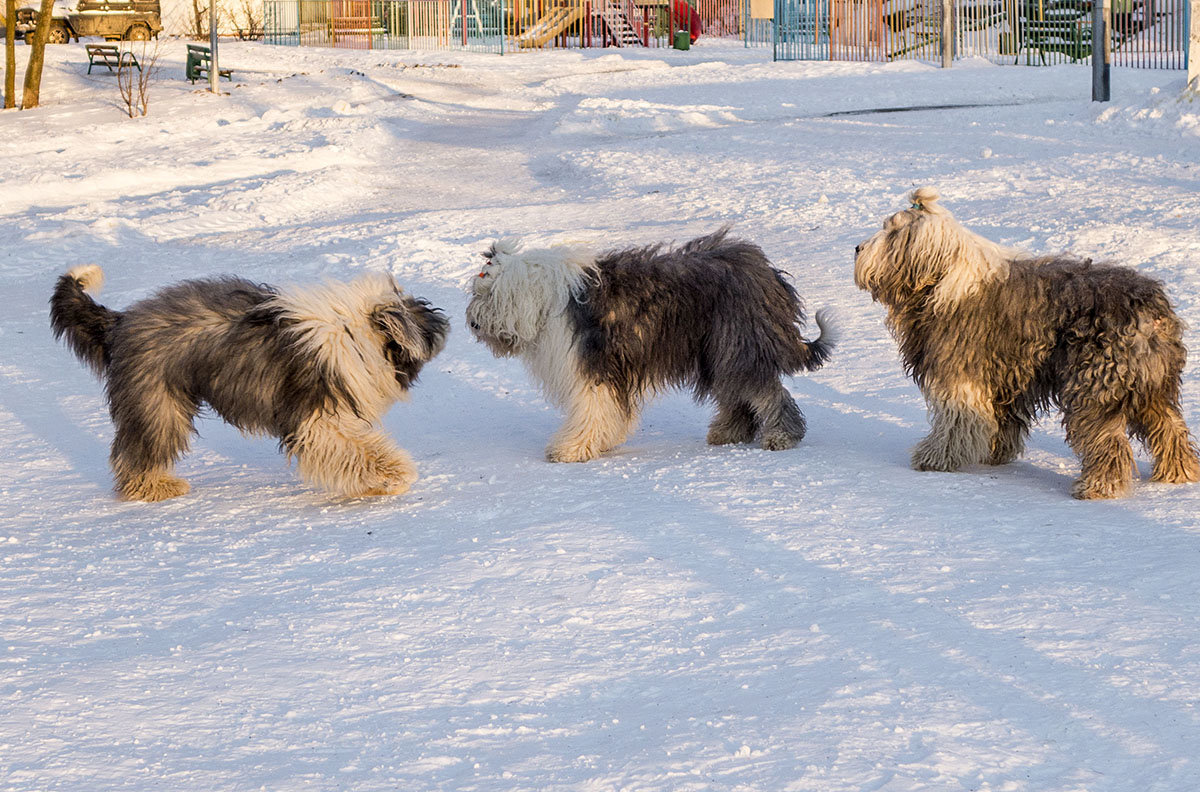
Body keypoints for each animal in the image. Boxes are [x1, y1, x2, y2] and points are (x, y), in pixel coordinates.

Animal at [49, 266, 448, 501]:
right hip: (157, 401)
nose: (443, 326)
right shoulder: (315, 417)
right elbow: (355, 448)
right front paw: (394, 474)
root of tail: (120, 322)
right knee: (136, 451)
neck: (353, 332)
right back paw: (154, 486)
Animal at [465, 226, 835, 463]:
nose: (472, 323)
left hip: (738, 342)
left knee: (766, 392)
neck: (545, 298)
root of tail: (767, 272)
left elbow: (592, 408)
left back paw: (780, 436)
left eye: (488, 294)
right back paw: (728, 432)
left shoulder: (594, 365)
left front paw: (570, 449)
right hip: (719, 349)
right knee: (738, 392)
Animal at [854, 188, 1200, 499]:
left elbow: (956, 421)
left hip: (1094, 384)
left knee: (1108, 440)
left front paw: (936, 457)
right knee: (1170, 428)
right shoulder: (1005, 375)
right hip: (1153, 384)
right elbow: (999, 420)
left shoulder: (961, 371)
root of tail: (1149, 308)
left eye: (891, 231)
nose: (857, 247)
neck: (942, 280)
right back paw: (1180, 473)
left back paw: (1098, 488)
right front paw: (993, 454)